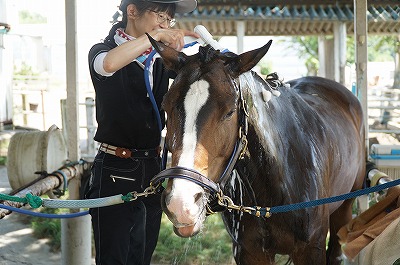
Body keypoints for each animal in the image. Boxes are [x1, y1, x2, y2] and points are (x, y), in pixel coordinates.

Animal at [148, 35, 368, 264]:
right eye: (165, 107)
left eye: (230, 111)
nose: (181, 204)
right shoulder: (249, 252)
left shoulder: (311, 249)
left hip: (345, 208)